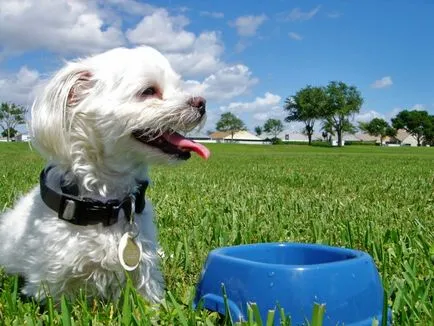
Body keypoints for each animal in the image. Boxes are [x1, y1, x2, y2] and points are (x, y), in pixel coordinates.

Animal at [0, 45, 210, 304]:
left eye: (177, 86)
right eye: (149, 91)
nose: (201, 103)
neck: (106, 204)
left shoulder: (145, 271)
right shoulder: (48, 285)